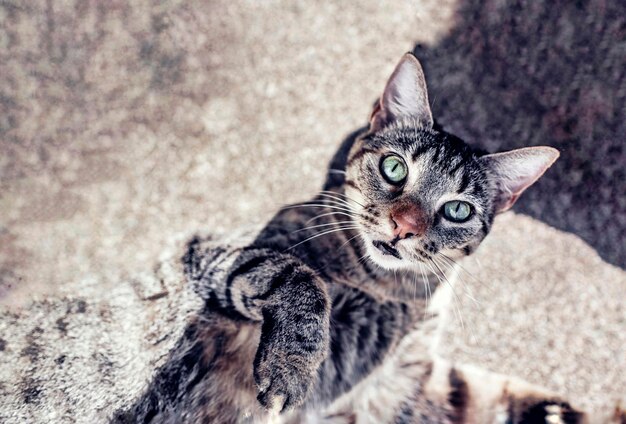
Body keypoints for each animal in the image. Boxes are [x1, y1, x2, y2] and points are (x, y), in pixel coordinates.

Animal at [116, 54, 584, 422]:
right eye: (394, 167)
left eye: (458, 210)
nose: (404, 226)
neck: (384, 285)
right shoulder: (213, 253)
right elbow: (300, 280)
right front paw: (290, 368)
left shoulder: (399, 382)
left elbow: (471, 391)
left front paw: (557, 412)